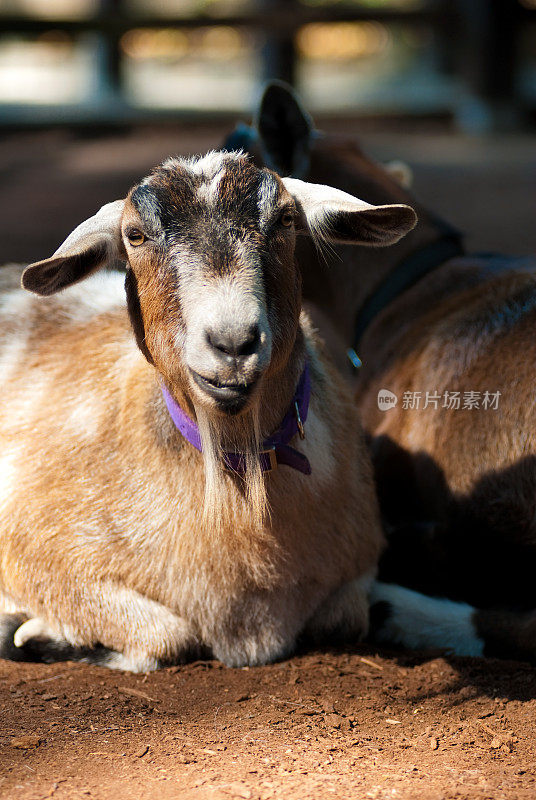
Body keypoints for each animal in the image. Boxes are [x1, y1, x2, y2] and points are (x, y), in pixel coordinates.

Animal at [0, 148, 416, 668]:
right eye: (135, 235)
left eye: (284, 219)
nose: (233, 342)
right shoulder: (32, 547)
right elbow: (170, 635)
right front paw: (35, 632)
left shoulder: (359, 566)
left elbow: (347, 618)